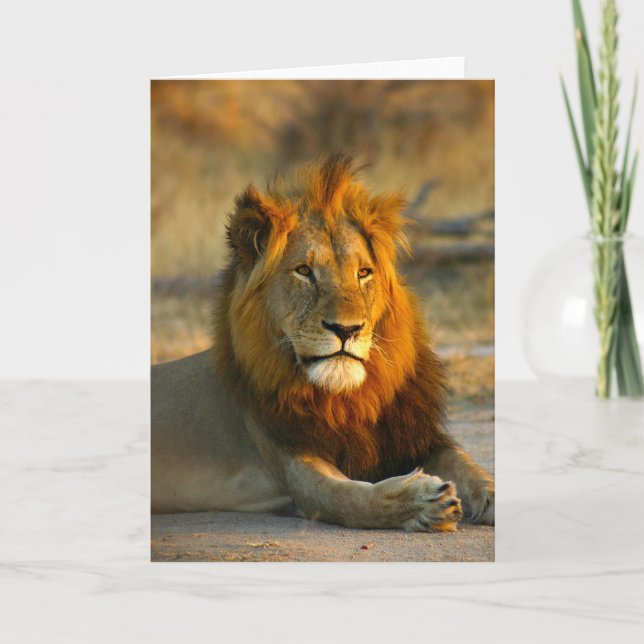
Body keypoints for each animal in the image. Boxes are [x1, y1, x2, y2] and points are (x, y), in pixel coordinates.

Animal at [151, 154, 494, 531]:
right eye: (304, 271)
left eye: (363, 273)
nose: (347, 329)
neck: (347, 400)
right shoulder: (296, 467)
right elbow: (351, 498)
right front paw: (420, 501)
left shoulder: (416, 437)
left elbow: (467, 464)